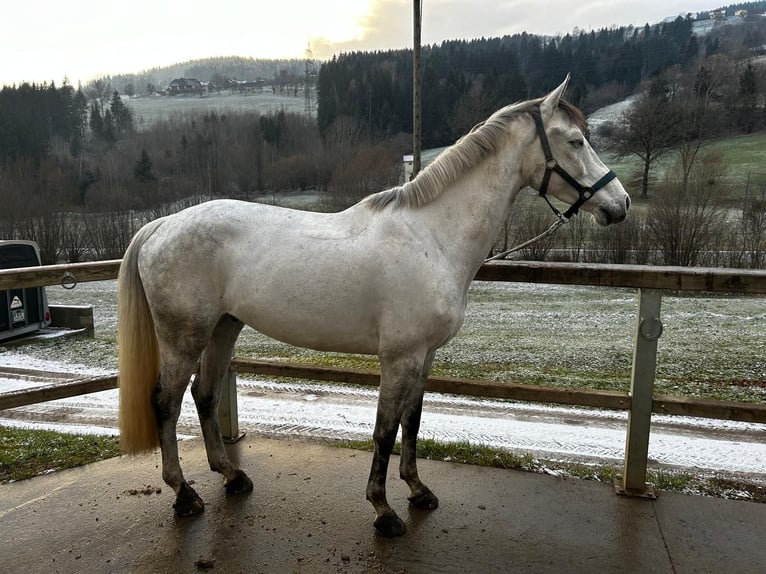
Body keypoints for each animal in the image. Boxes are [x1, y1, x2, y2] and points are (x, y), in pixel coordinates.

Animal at [117, 76, 630, 537]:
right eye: (576, 140)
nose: (620, 204)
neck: (432, 237)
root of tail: (162, 225)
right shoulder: (398, 358)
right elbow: (384, 430)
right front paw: (384, 511)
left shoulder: (424, 356)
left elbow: (412, 423)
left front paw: (418, 491)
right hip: (185, 336)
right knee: (165, 402)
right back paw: (184, 494)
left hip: (224, 326)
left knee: (204, 395)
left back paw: (232, 476)